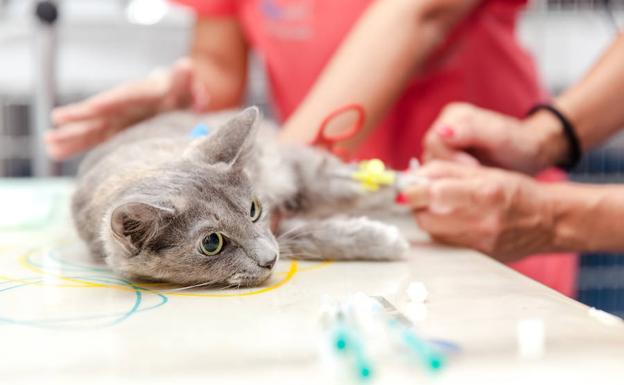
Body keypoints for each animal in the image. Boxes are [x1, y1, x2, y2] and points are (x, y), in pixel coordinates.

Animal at [72, 106, 410, 286]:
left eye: (253, 209)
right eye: (212, 243)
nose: (270, 260)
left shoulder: (287, 168)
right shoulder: (283, 228)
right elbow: (306, 236)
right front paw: (383, 239)